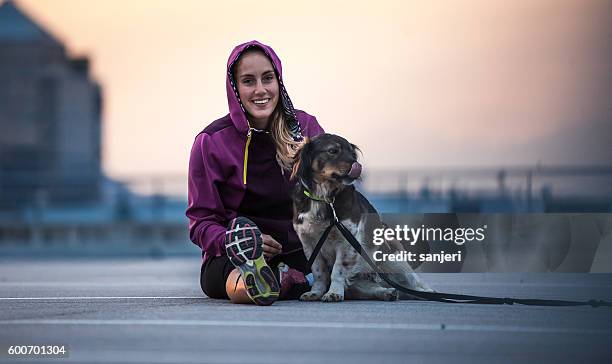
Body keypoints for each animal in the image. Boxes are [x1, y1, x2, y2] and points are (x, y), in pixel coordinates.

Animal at [290, 134, 430, 302]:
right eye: (333, 150)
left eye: (352, 153)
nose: (357, 165)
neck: (324, 197)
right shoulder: (309, 243)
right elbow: (319, 272)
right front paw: (316, 292)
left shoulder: (346, 241)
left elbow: (337, 270)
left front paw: (334, 293)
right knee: (366, 288)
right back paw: (387, 292)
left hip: (394, 262)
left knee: (417, 286)